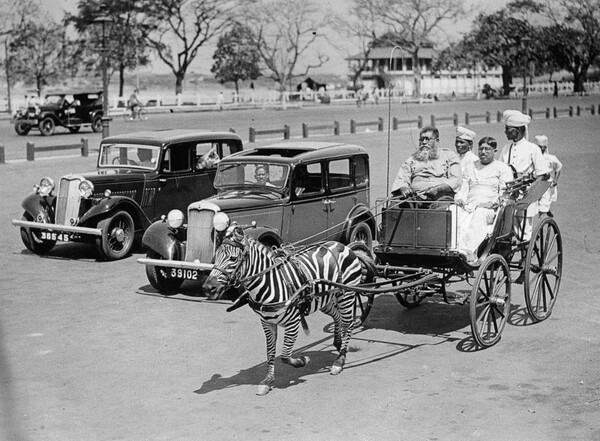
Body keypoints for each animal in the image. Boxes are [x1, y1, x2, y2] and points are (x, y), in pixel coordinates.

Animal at [203, 225, 376, 394]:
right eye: (215, 257)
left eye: (233, 259)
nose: (208, 288)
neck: (271, 282)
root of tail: (345, 246)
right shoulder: (267, 323)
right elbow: (270, 352)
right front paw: (268, 381)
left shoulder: (293, 322)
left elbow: (285, 355)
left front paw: (302, 361)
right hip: (325, 299)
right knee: (337, 317)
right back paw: (339, 345)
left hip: (347, 294)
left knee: (348, 324)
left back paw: (340, 360)